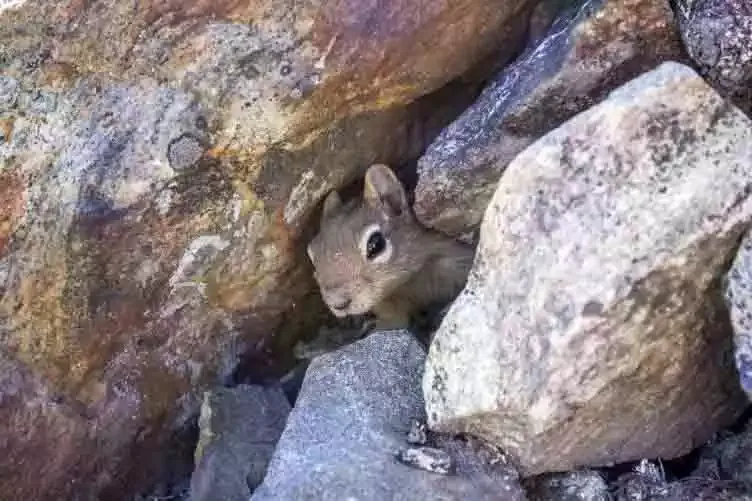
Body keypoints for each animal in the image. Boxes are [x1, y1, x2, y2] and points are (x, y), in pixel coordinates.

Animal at [306, 163, 476, 331]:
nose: (338, 303)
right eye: (311, 253)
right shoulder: (388, 303)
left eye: (375, 245)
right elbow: (396, 321)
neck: (407, 282)